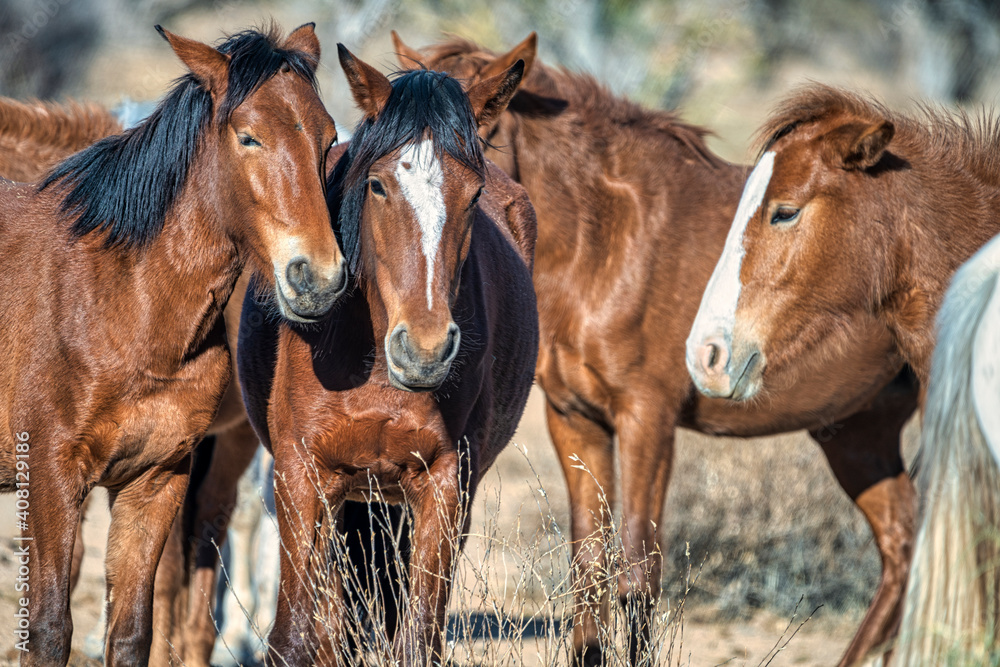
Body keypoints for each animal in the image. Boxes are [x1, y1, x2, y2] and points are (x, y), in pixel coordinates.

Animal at [0, 24, 346, 665]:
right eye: (248, 137)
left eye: (329, 137)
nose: (317, 277)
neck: (121, 300)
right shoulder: (53, 482)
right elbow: (50, 629)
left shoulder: (155, 479)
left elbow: (135, 627)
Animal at [238, 46, 537, 665]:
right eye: (376, 186)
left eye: (473, 195)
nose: (424, 350)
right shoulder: (301, 478)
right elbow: (298, 638)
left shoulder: (444, 488)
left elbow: (417, 638)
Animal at [391, 34, 918, 667]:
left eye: (484, 134)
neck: (609, 240)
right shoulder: (576, 420)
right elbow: (589, 562)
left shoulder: (649, 419)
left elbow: (639, 571)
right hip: (859, 432)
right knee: (901, 544)